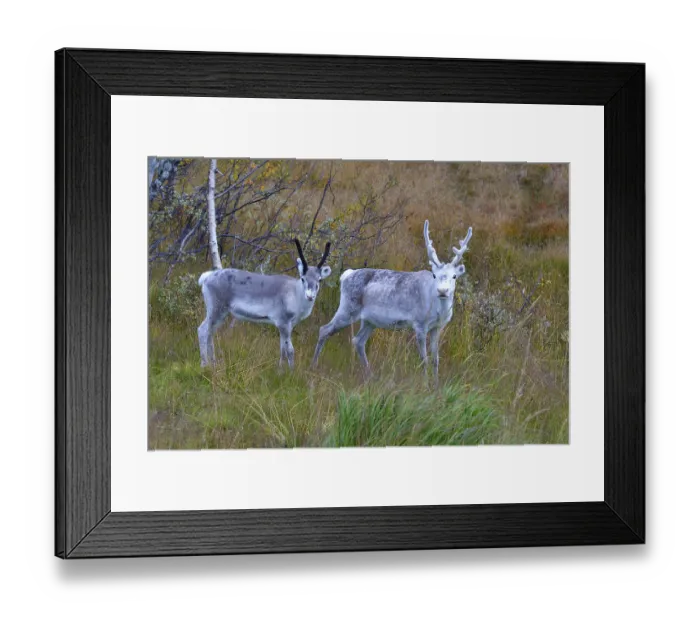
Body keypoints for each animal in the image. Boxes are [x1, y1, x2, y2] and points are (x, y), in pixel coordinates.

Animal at [197, 240, 332, 368]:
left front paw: (280, 371)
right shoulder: (283, 323)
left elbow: (282, 350)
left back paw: (214, 364)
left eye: (319, 279)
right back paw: (205, 365)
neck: (294, 292)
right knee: (202, 330)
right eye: (303, 278)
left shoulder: (288, 326)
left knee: (210, 333)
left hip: (222, 314)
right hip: (216, 309)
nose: (310, 296)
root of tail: (207, 276)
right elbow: (290, 350)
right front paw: (291, 372)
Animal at [312, 220, 472, 382]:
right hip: (348, 307)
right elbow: (424, 359)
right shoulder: (419, 323)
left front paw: (436, 385)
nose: (442, 291)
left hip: (369, 320)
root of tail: (345, 275)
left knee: (358, 341)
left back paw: (370, 376)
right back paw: (314, 367)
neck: (438, 310)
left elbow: (435, 360)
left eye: (454, 276)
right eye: (434, 275)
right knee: (324, 329)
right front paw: (425, 384)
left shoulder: (437, 327)